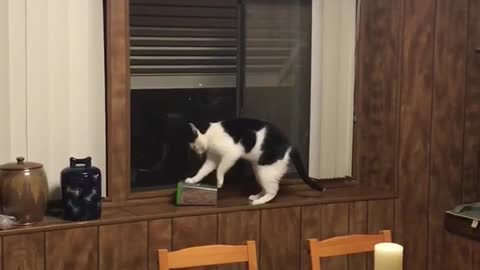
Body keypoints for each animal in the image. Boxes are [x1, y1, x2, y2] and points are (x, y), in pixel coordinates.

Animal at [186, 118, 324, 205]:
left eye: (192, 144)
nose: (193, 149)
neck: (211, 134)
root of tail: (290, 146)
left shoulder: (231, 154)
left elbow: (221, 168)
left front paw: (219, 182)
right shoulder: (212, 159)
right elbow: (202, 171)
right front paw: (192, 180)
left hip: (266, 171)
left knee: (273, 190)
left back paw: (259, 201)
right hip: (258, 171)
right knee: (266, 188)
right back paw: (256, 196)